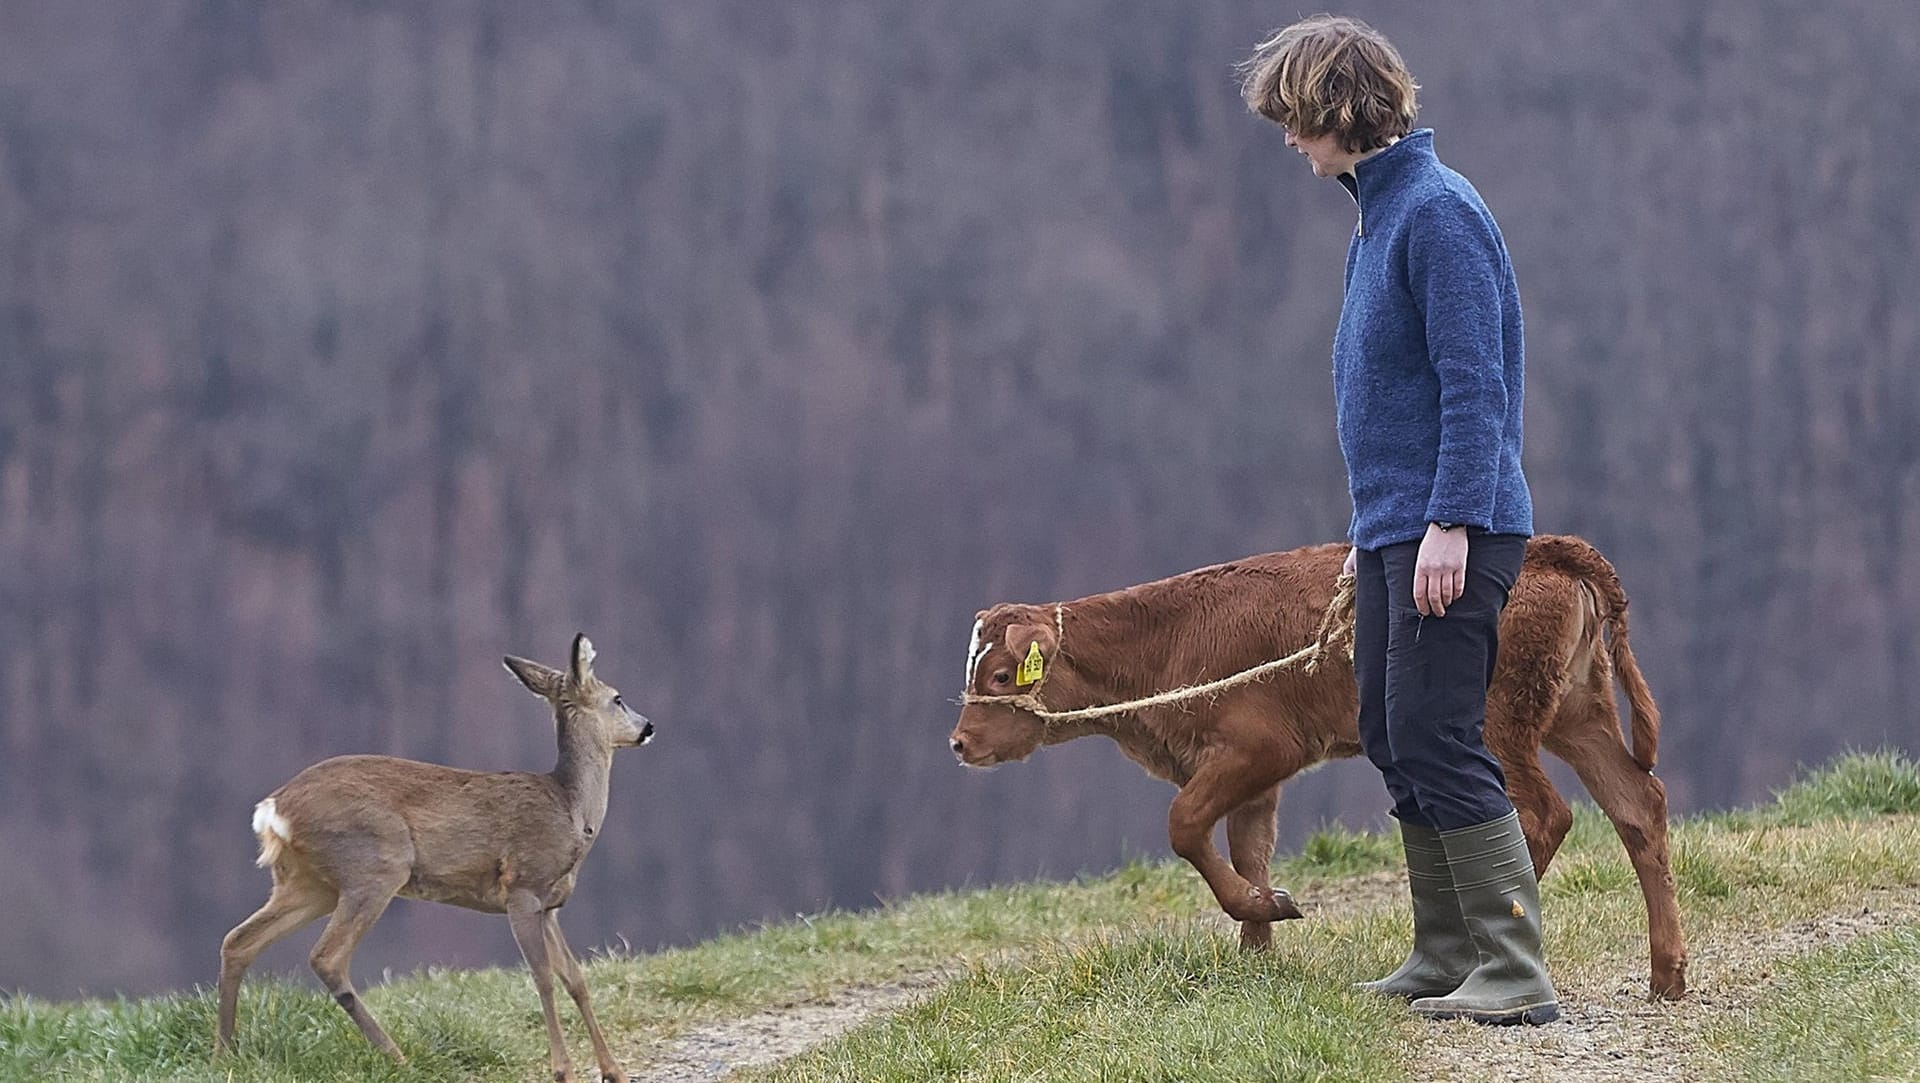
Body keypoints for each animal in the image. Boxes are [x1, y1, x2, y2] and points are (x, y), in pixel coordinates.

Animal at [216, 633, 652, 1083]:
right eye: (618, 698)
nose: (648, 727)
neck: (571, 810)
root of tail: (272, 810)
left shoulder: (550, 906)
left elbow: (576, 979)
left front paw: (613, 1071)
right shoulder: (523, 888)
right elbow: (543, 977)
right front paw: (563, 1069)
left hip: (308, 883)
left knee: (239, 940)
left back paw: (224, 1055)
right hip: (374, 867)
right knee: (326, 957)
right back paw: (397, 1057)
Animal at [952, 537, 1689, 1006]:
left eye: (1001, 674)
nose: (959, 742)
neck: (1165, 642)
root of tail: (1553, 548)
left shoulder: (1258, 748)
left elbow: (1185, 825)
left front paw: (1266, 913)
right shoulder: (1254, 775)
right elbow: (1247, 851)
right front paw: (1256, 951)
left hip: (1497, 723)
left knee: (1545, 811)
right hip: (1577, 711)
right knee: (1638, 804)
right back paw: (1667, 975)